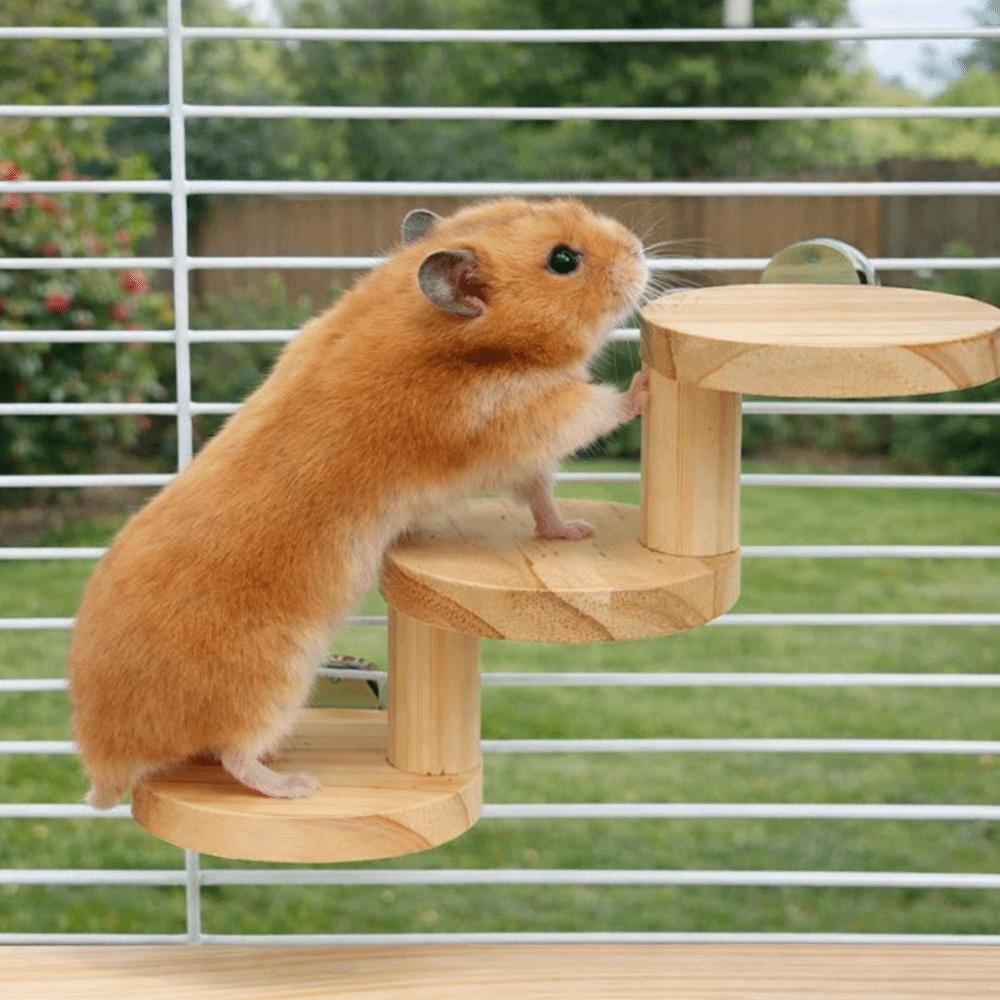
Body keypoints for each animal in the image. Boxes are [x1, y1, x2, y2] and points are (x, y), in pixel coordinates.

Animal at [68, 197, 650, 805]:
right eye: (563, 260)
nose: (639, 250)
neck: (446, 332)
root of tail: (107, 759)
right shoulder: (519, 416)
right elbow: (595, 412)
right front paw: (645, 382)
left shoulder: (521, 453)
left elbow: (542, 500)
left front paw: (575, 531)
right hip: (271, 687)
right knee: (235, 755)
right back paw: (296, 785)